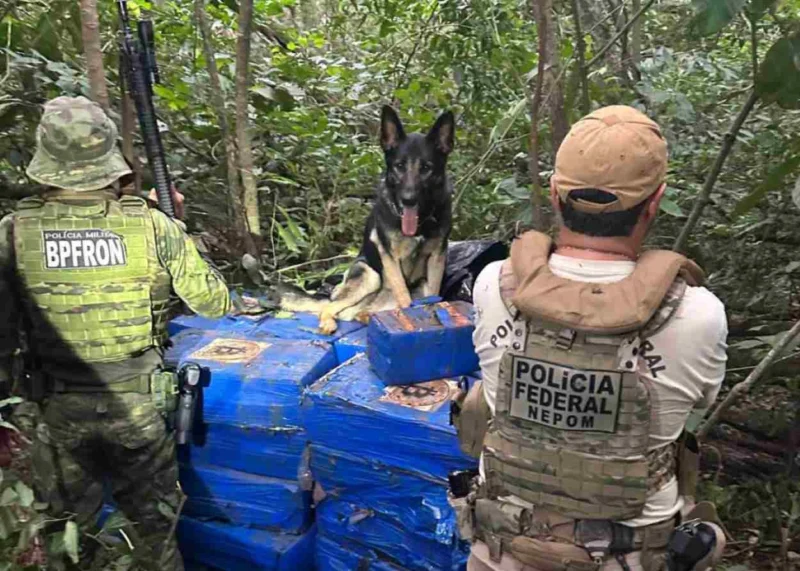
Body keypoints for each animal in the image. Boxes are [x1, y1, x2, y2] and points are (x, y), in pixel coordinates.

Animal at [266, 105, 455, 334]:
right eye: (399, 166)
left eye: (427, 168)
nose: (408, 200)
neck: (420, 224)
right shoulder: (390, 257)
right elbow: (403, 296)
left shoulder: (437, 257)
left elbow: (434, 293)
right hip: (370, 275)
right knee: (331, 307)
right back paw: (330, 322)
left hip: (414, 285)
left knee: (355, 312)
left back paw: (367, 317)